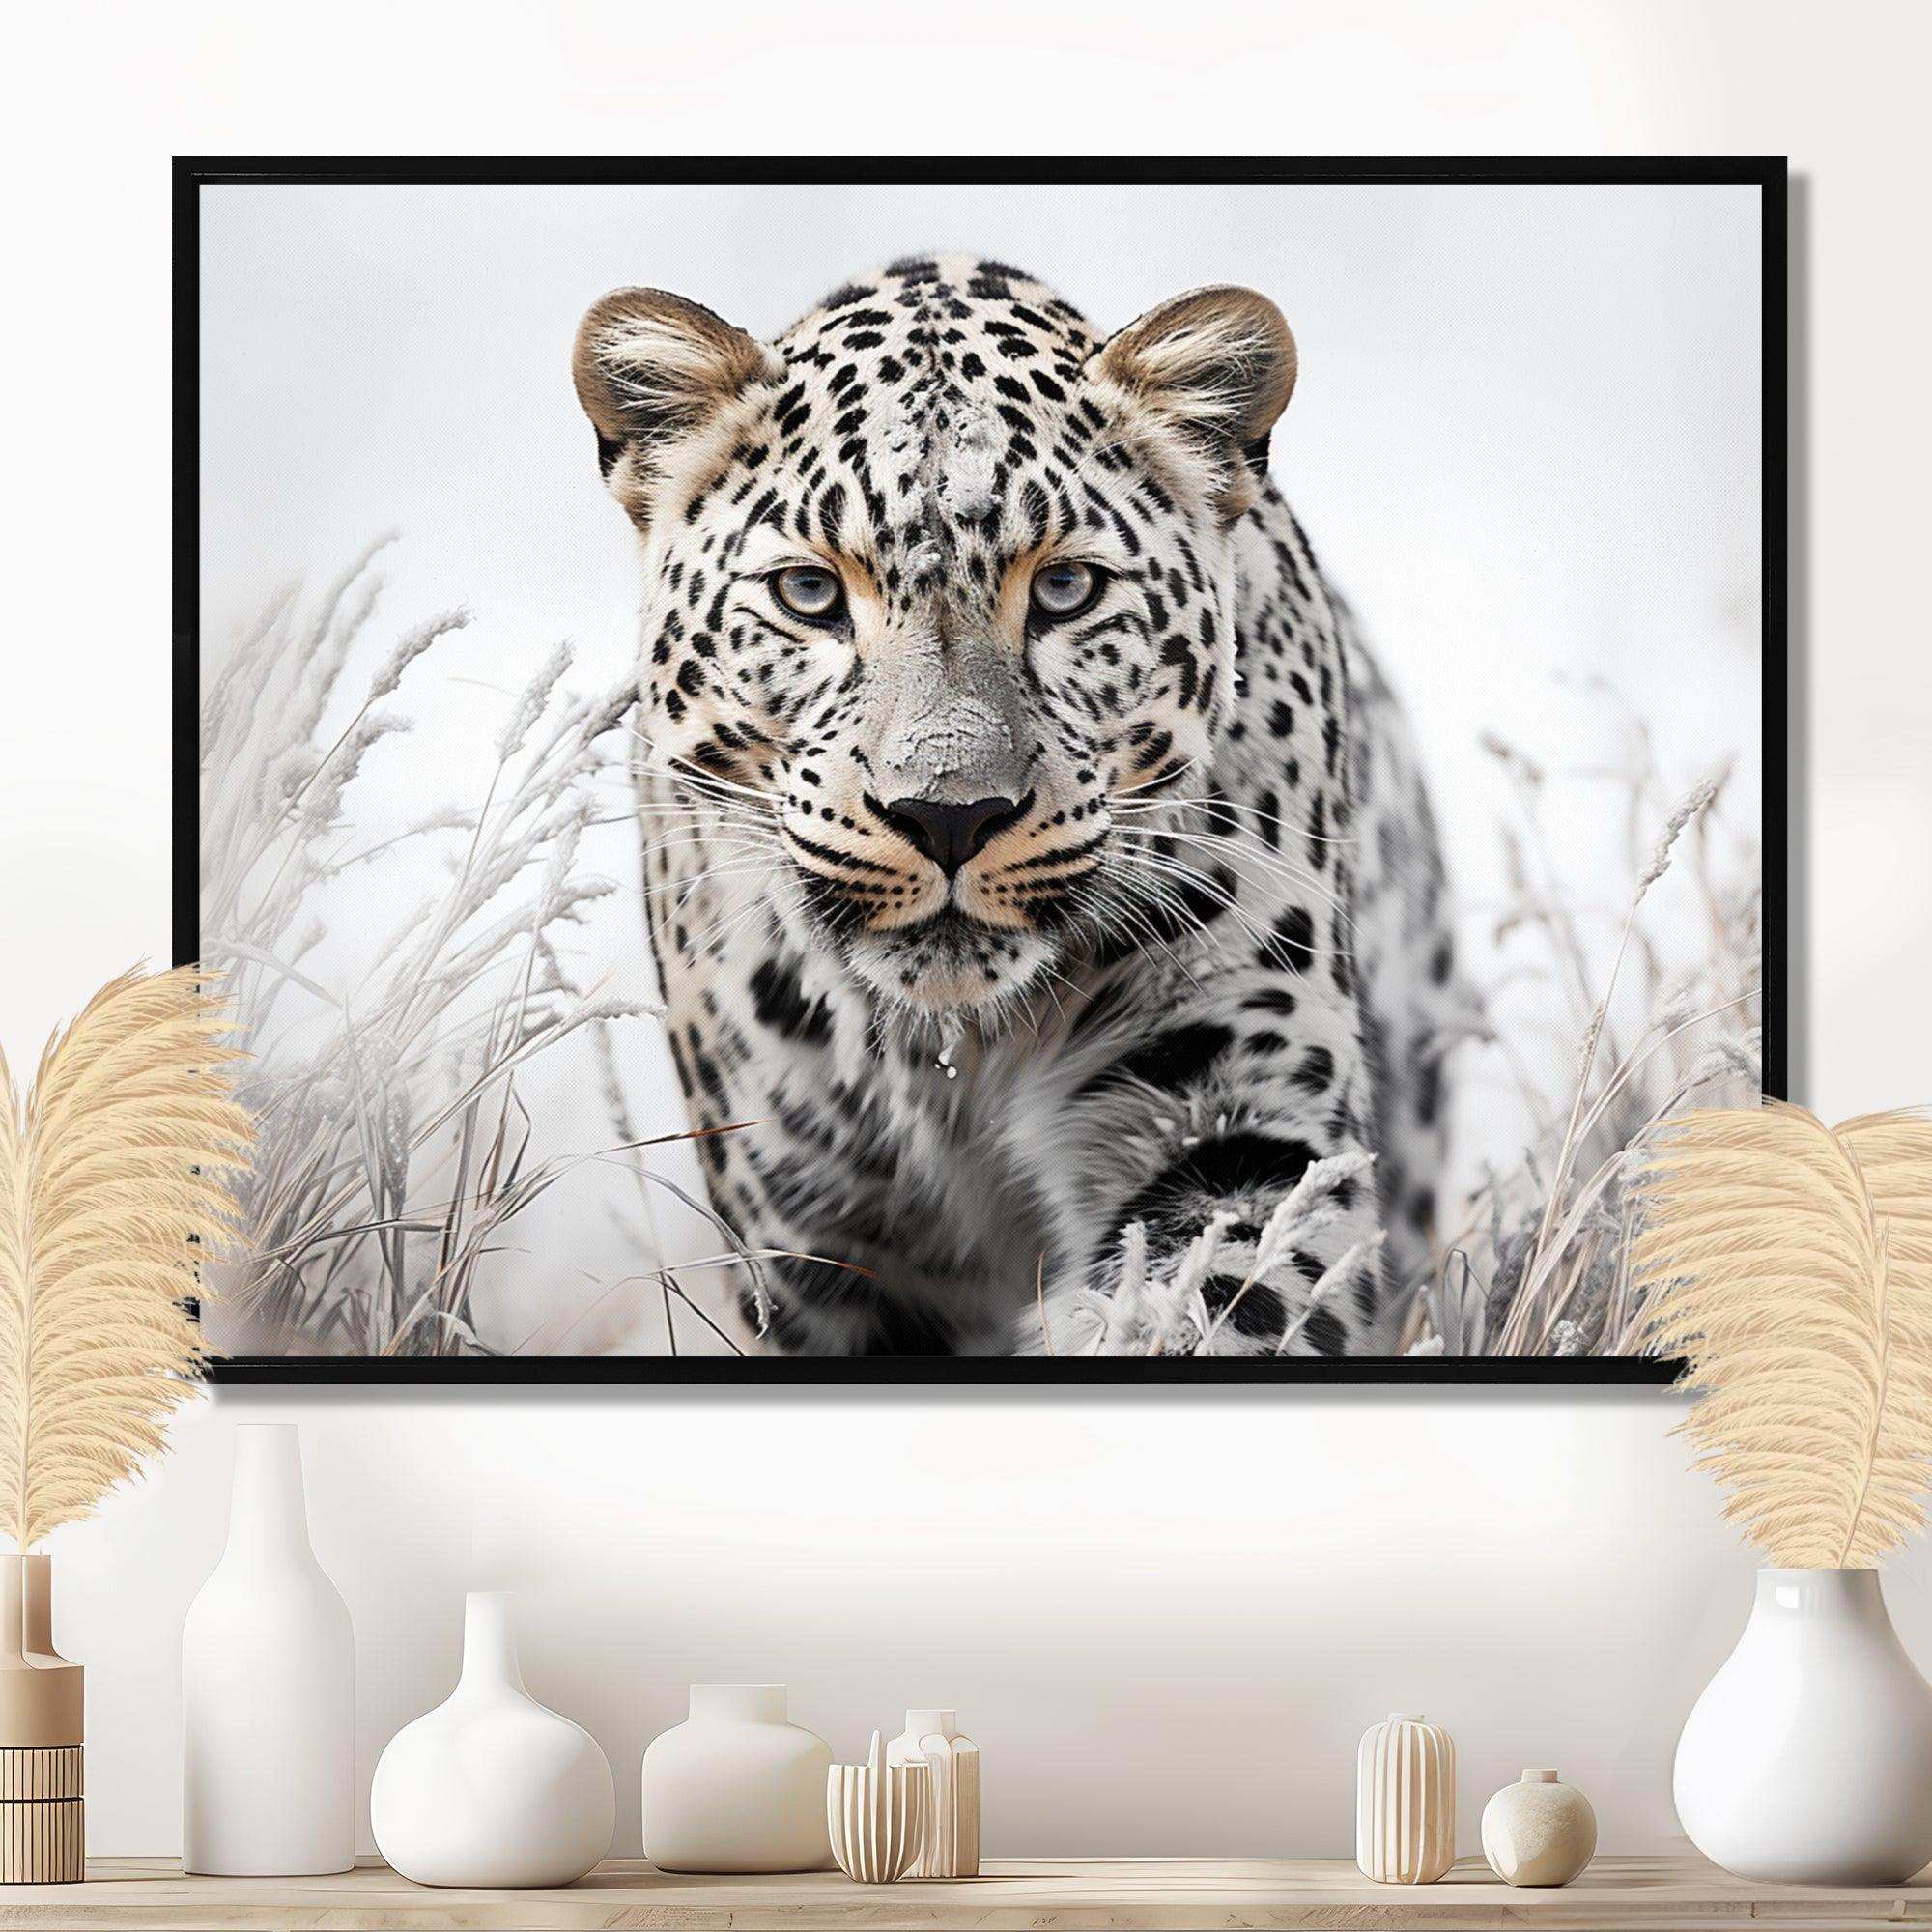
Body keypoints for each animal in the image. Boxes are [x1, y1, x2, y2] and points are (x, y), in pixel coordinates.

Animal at [572, 253, 1463, 1357]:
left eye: (1067, 589)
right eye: (808, 596)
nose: (947, 815)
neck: (950, 1060)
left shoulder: (1243, 1117)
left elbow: (1207, 1300)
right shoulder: (810, 1228)